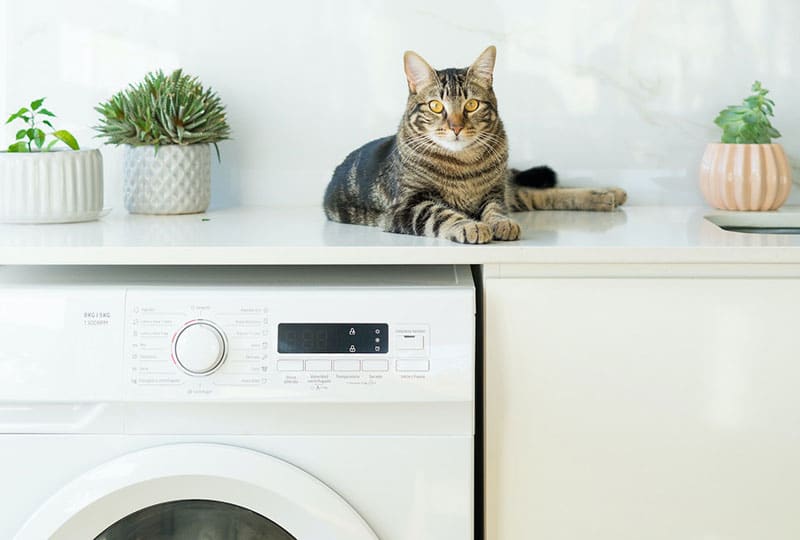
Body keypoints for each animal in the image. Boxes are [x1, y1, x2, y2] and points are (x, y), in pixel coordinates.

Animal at [324, 46, 624, 245]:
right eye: (436, 106)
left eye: (471, 105)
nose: (456, 126)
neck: (462, 165)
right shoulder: (407, 206)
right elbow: (441, 214)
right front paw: (471, 226)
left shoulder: (494, 192)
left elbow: (496, 210)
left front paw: (500, 223)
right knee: (537, 194)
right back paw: (608, 196)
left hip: (506, 186)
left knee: (537, 192)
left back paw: (608, 194)